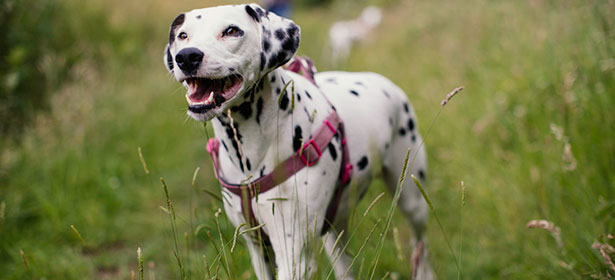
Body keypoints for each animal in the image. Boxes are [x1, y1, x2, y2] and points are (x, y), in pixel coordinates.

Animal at [162, 3, 434, 278]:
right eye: (183, 35)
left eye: (231, 31)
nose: (187, 56)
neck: (249, 155)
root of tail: (383, 81)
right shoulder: (257, 246)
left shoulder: (293, 254)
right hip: (334, 231)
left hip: (412, 199)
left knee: (421, 243)